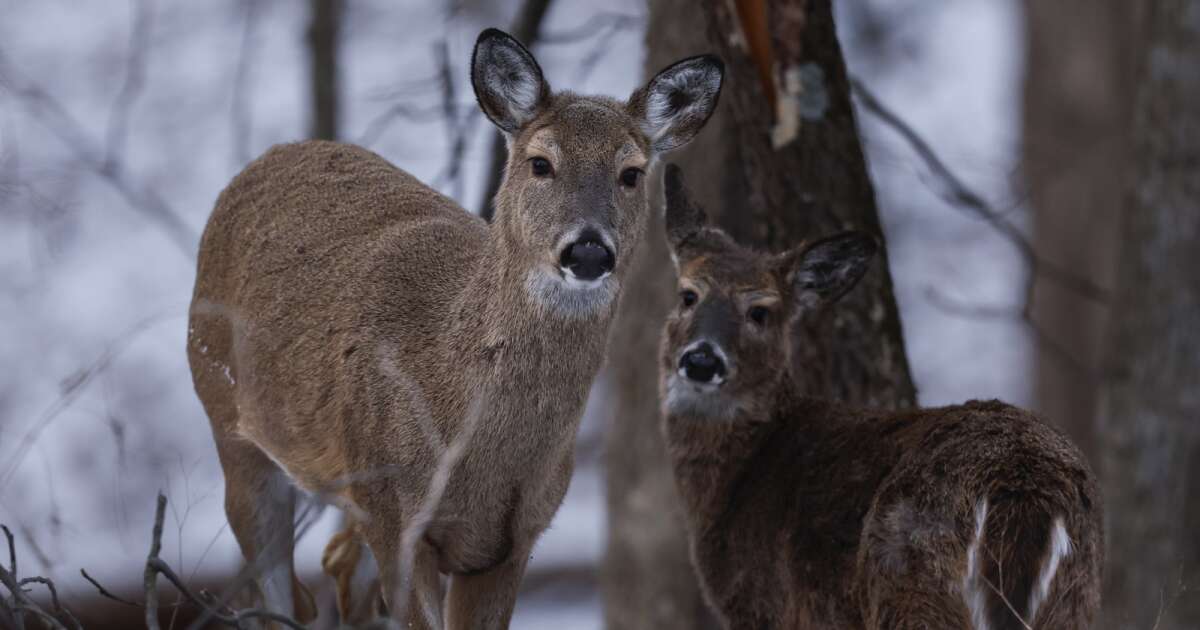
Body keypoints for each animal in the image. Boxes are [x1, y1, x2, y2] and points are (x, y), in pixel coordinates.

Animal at [186, 29, 723, 628]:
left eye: (631, 173)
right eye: (541, 163)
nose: (588, 249)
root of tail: (267, 158)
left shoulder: (514, 538)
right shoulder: (396, 514)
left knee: (338, 567)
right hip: (227, 419)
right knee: (274, 591)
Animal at [656, 164, 1103, 630]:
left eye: (760, 311)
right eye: (688, 294)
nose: (702, 359)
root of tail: (1024, 488)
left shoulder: (765, 609)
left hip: (908, 579)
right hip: (1076, 595)